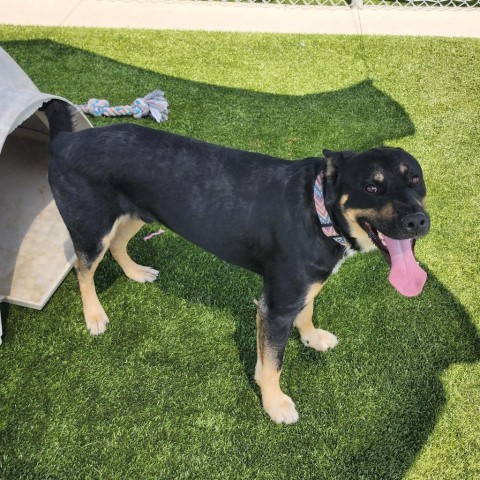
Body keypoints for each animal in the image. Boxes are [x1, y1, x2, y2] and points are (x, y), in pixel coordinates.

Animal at [43, 100, 430, 424]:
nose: (418, 222)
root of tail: (66, 141)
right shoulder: (275, 307)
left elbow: (306, 313)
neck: (318, 210)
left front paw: (311, 338)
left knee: (118, 245)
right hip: (92, 228)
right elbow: (273, 364)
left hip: (137, 212)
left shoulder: (298, 290)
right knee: (83, 268)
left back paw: (135, 273)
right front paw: (274, 404)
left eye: (415, 179)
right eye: (372, 188)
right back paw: (94, 315)